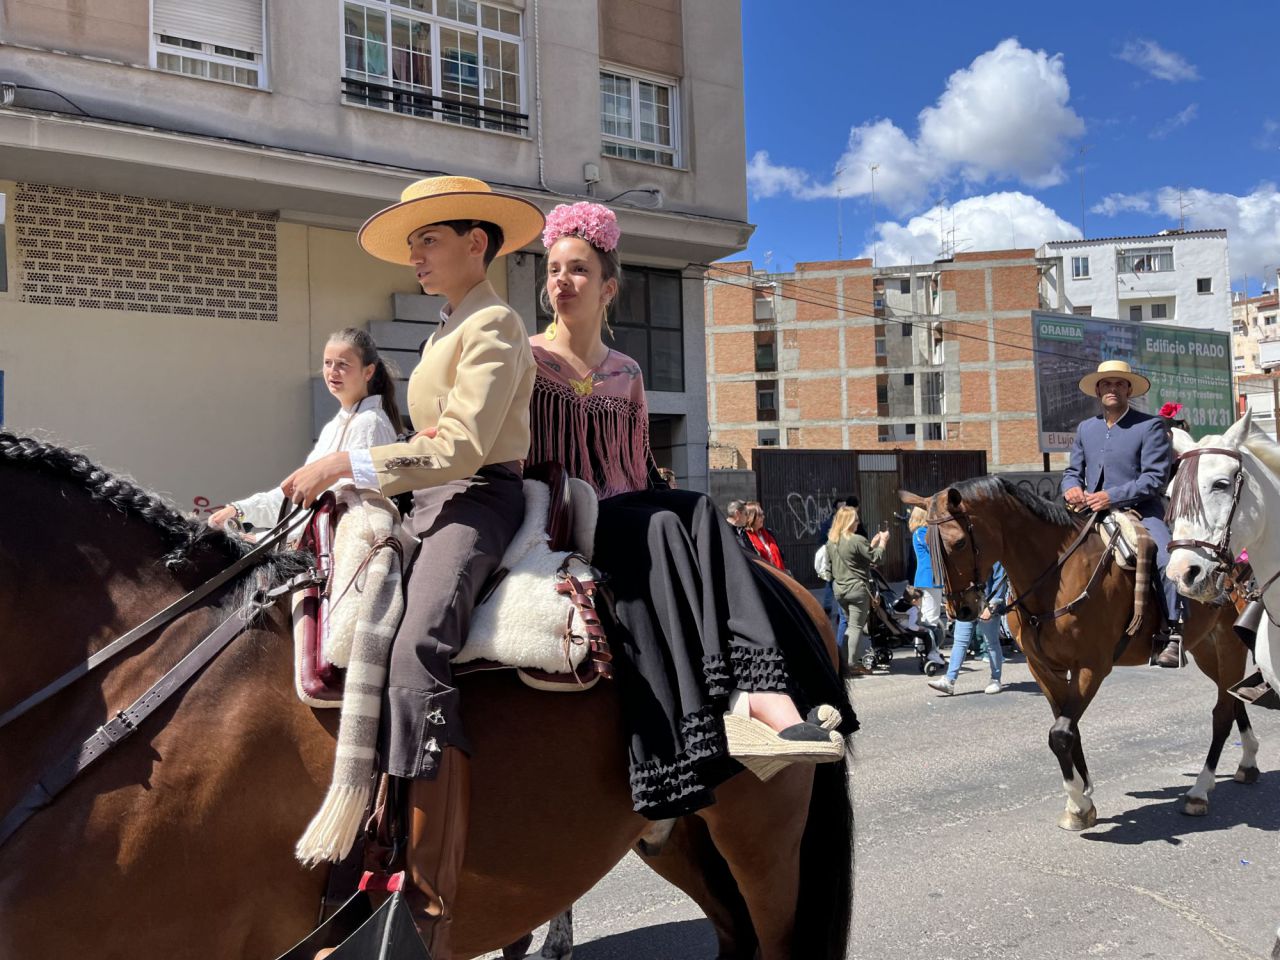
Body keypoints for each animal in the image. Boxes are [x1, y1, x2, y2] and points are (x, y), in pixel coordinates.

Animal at [901, 481, 1259, 834]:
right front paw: (1082, 796)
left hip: (1229, 643)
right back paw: (1248, 761)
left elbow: (1060, 733)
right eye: (925, 545)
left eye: (959, 542)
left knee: (1222, 713)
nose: (960, 611)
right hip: (1205, 647)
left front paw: (1078, 804)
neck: (1055, 577)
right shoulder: (1044, 669)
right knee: (1232, 698)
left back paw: (1200, 791)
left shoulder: (1091, 667)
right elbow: (1068, 728)